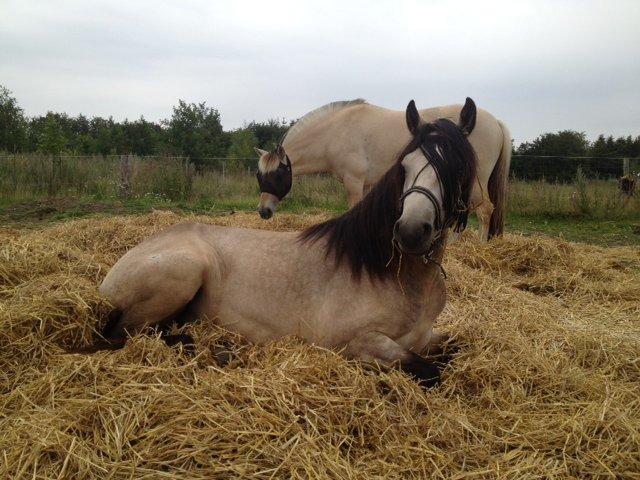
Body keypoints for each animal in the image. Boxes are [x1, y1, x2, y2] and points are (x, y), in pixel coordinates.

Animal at [90, 98, 480, 386]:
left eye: (458, 168)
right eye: (405, 164)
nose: (411, 231)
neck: (388, 270)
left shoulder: (428, 335)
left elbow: (461, 348)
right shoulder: (354, 342)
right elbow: (430, 370)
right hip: (184, 271)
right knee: (126, 334)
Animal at [255, 98, 510, 242]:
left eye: (277, 175)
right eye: (260, 177)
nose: (263, 211)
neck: (336, 131)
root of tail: (496, 121)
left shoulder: (354, 181)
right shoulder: (367, 183)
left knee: (484, 209)